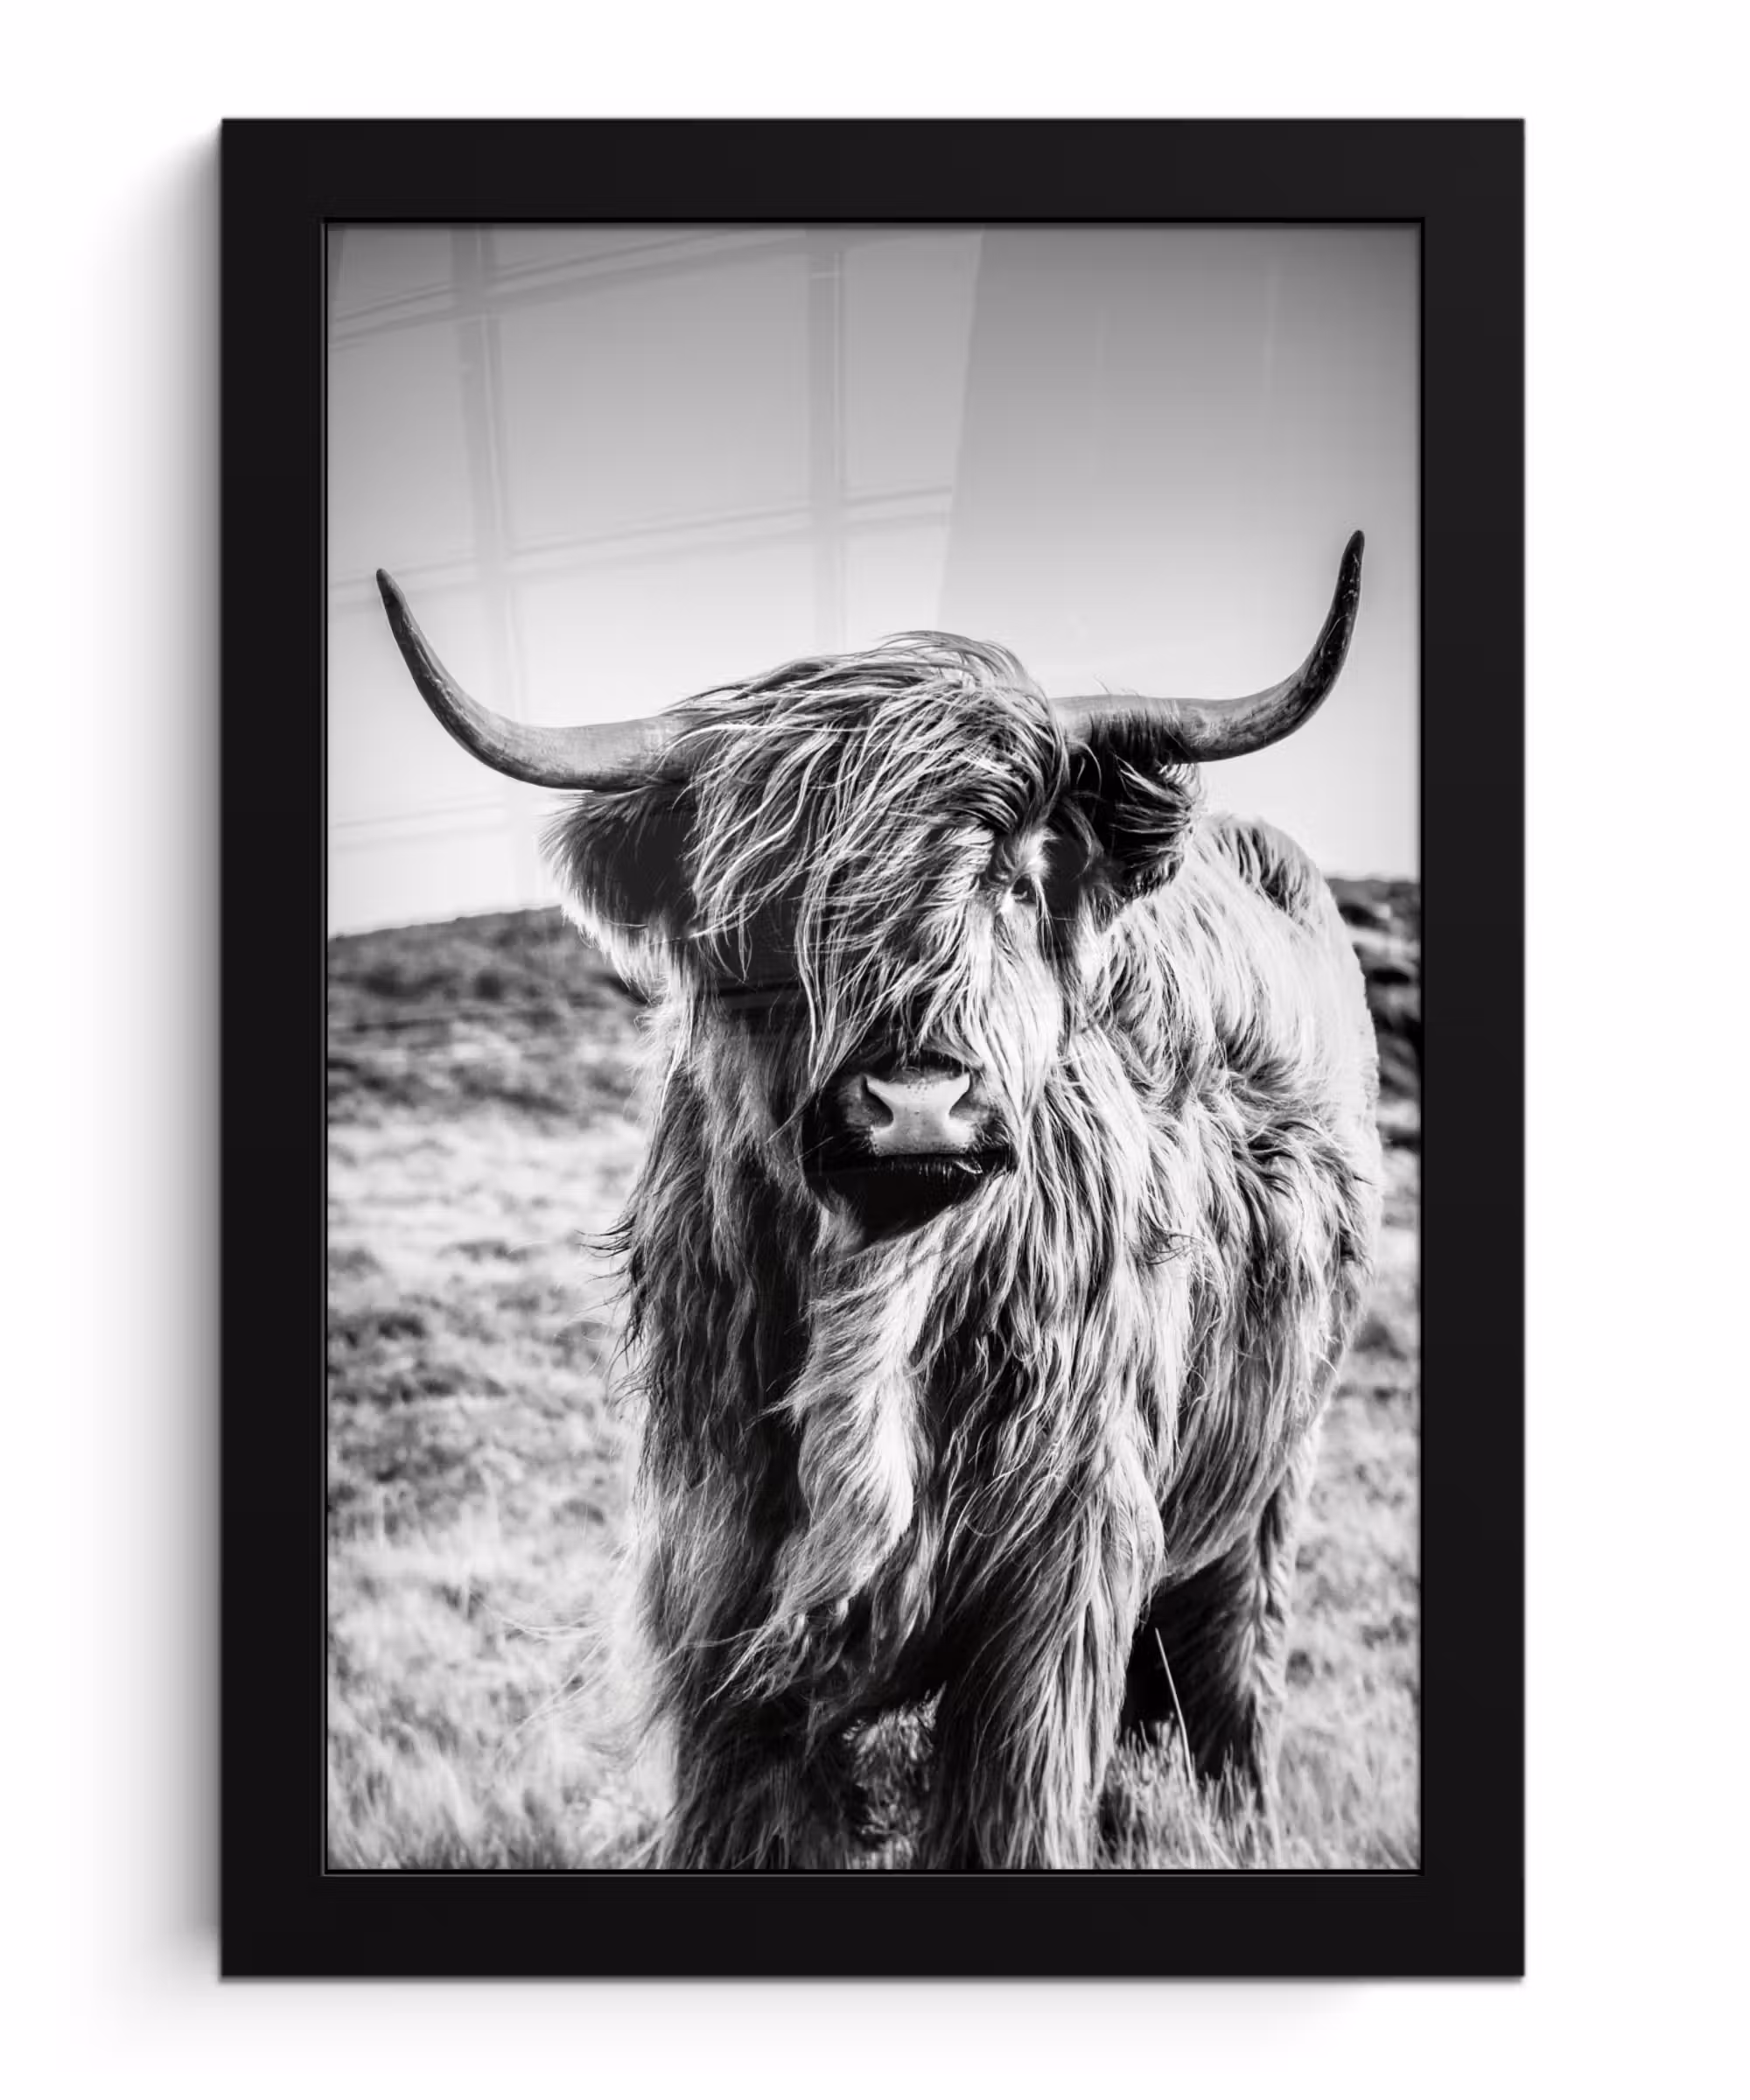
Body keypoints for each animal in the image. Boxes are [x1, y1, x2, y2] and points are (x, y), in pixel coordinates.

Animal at [375, 534, 1382, 1869]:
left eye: (1014, 881)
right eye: (768, 915)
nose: (914, 1102)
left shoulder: (1055, 1591)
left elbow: (1014, 1815)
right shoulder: (721, 1592)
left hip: (1268, 1492)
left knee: (1231, 1691)